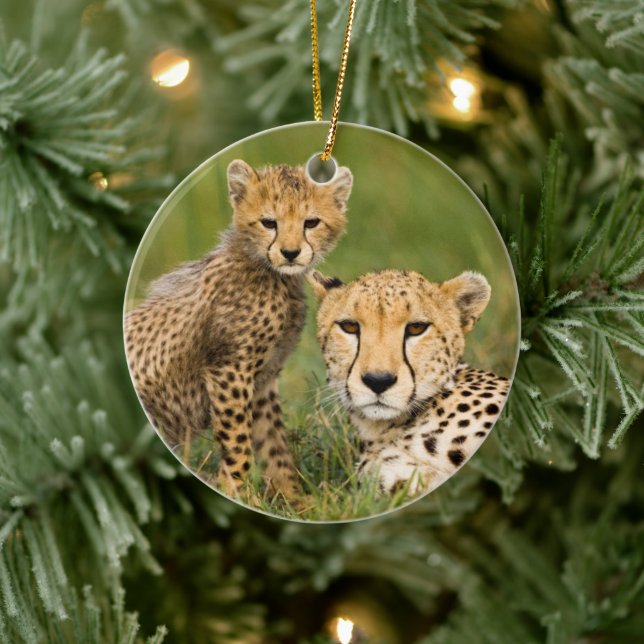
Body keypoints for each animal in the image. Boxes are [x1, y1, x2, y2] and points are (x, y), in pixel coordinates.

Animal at [125, 159, 352, 500]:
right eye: (269, 223)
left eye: (311, 222)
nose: (290, 253)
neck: (272, 275)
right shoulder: (230, 371)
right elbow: (238, 443)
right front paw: (238, 492)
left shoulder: (261, 380)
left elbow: (274, 445)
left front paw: (294, 499)